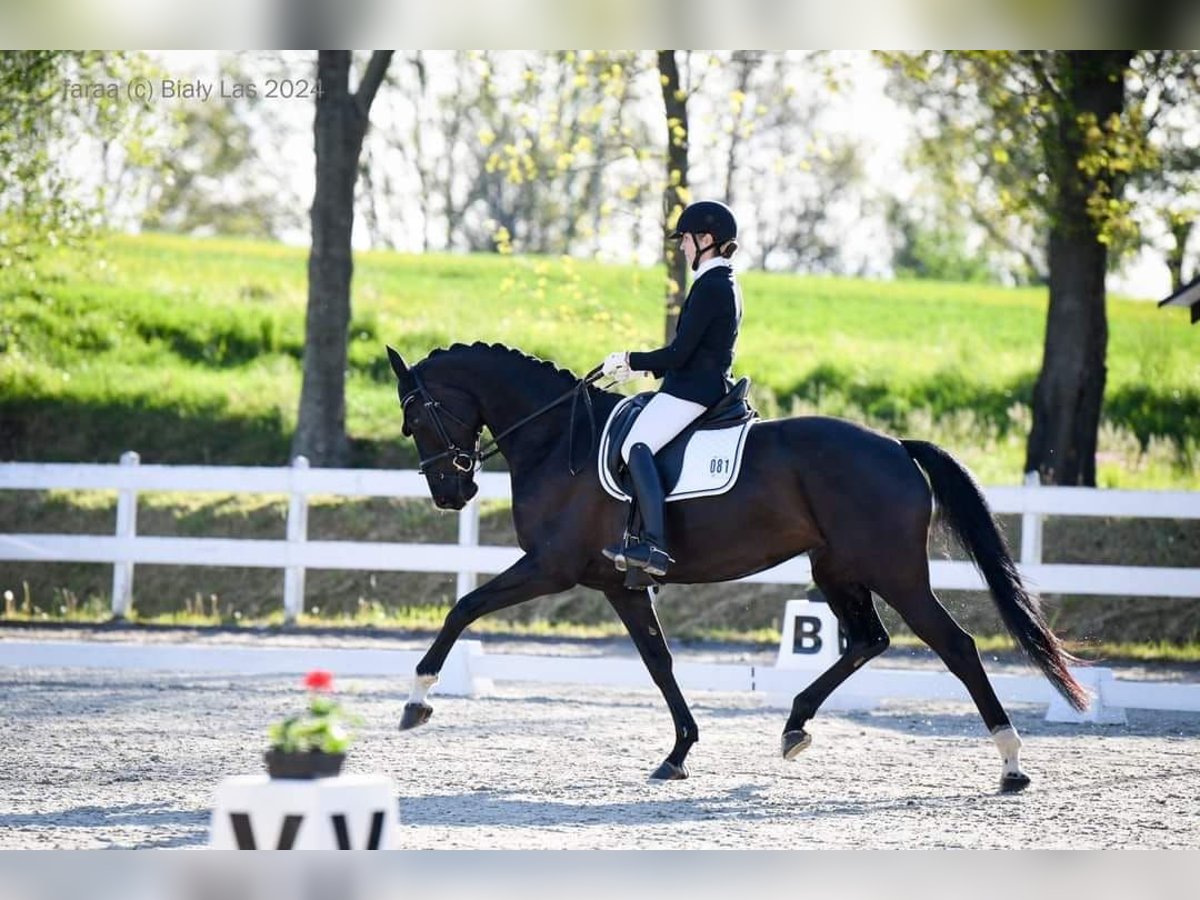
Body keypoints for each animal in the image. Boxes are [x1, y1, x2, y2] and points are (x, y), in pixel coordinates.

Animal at [386, 341, 1088, 792]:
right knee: (869, 640)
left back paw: (1011, 765)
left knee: (957, 646)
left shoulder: (550, 566)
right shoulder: (619, 584)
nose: (451, 493)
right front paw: (678, 753)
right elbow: (659, 662)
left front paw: (416, 702)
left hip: (895, 573)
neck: (561, 439)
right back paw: (795, 727)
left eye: (415, 415)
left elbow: (464, 607)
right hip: (837, 569)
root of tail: (896, 445)